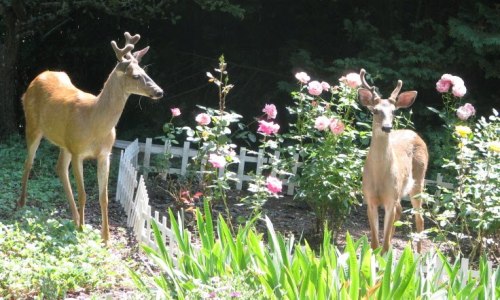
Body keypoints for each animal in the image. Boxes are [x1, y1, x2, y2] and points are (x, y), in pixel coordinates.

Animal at [18, 32, 164, 243]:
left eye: (146, 72)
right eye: (136, 75)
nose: (159, 92)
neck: (94, 121)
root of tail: (37, 78)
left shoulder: (104, 154)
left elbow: (104, 197)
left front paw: (106, 237)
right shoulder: (78, 152)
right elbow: (84, 194)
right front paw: (81, 230)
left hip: (65, 142)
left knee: (59, 168)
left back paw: (74, 217)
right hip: (32, 125)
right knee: (28, 162)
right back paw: (22, 204)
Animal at [358, 68, 428, 253]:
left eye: (394, 111)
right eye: (375, 110)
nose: (387, 127)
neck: (379, 178)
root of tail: (414, 133)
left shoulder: (391, 197)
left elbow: (385, 245)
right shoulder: (369, 199)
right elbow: (375, 243)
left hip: (418, 180)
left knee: (420, 218)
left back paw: (420, 253)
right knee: (400, 211)